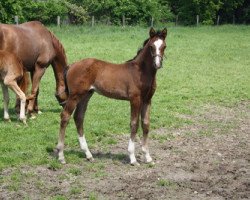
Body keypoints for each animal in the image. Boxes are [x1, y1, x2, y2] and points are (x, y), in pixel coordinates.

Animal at [55, 27, 167, 166]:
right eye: (151, 46)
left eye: (164, 46)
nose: (158, 64)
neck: (141, 72)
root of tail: (71, 65)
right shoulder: (135, 99)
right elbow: (134, 124)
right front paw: (133, 158)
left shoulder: (147, 100)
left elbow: (146, 124)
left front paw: (148, 157)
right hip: (75, 96)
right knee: (65, 116)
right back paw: (61, 155)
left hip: (86, 95)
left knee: (79, 117)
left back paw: (88, 154)